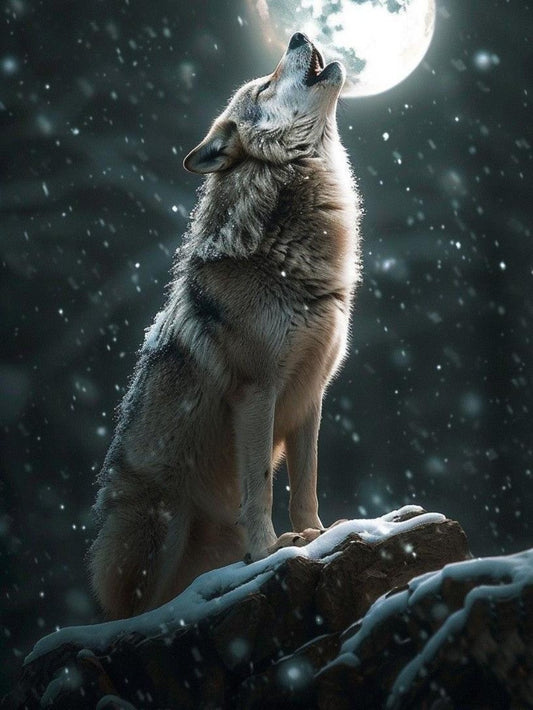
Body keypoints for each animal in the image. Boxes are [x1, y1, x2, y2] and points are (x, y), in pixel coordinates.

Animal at [89, 32, 362, 619]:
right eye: (263, 85)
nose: (296, 34)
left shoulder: (311, 393)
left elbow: (305, 483)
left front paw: (318, 535)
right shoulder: (255, 392)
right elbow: (260, 486)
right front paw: (273, 549)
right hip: (161, 524)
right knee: (140, 611)